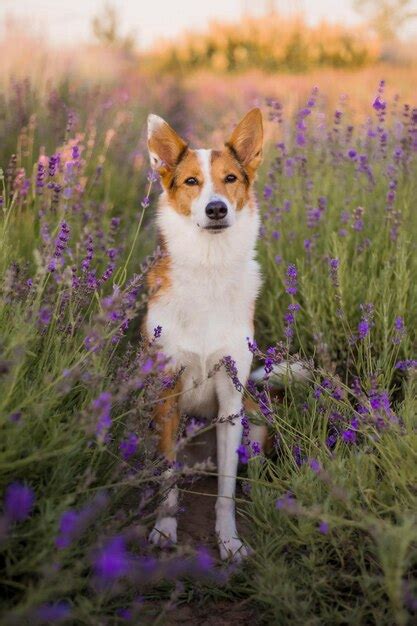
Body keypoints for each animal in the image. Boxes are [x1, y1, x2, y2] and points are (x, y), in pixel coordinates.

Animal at [145, 107, 264, 560]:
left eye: (230, 178)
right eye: (191, 181)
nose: (216, 209)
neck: (209, 268)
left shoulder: (232, 400)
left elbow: (226, 491)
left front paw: (229, 541)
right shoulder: (166, 396)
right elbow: (167, 479)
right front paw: (164, 528)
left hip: (256, 421)